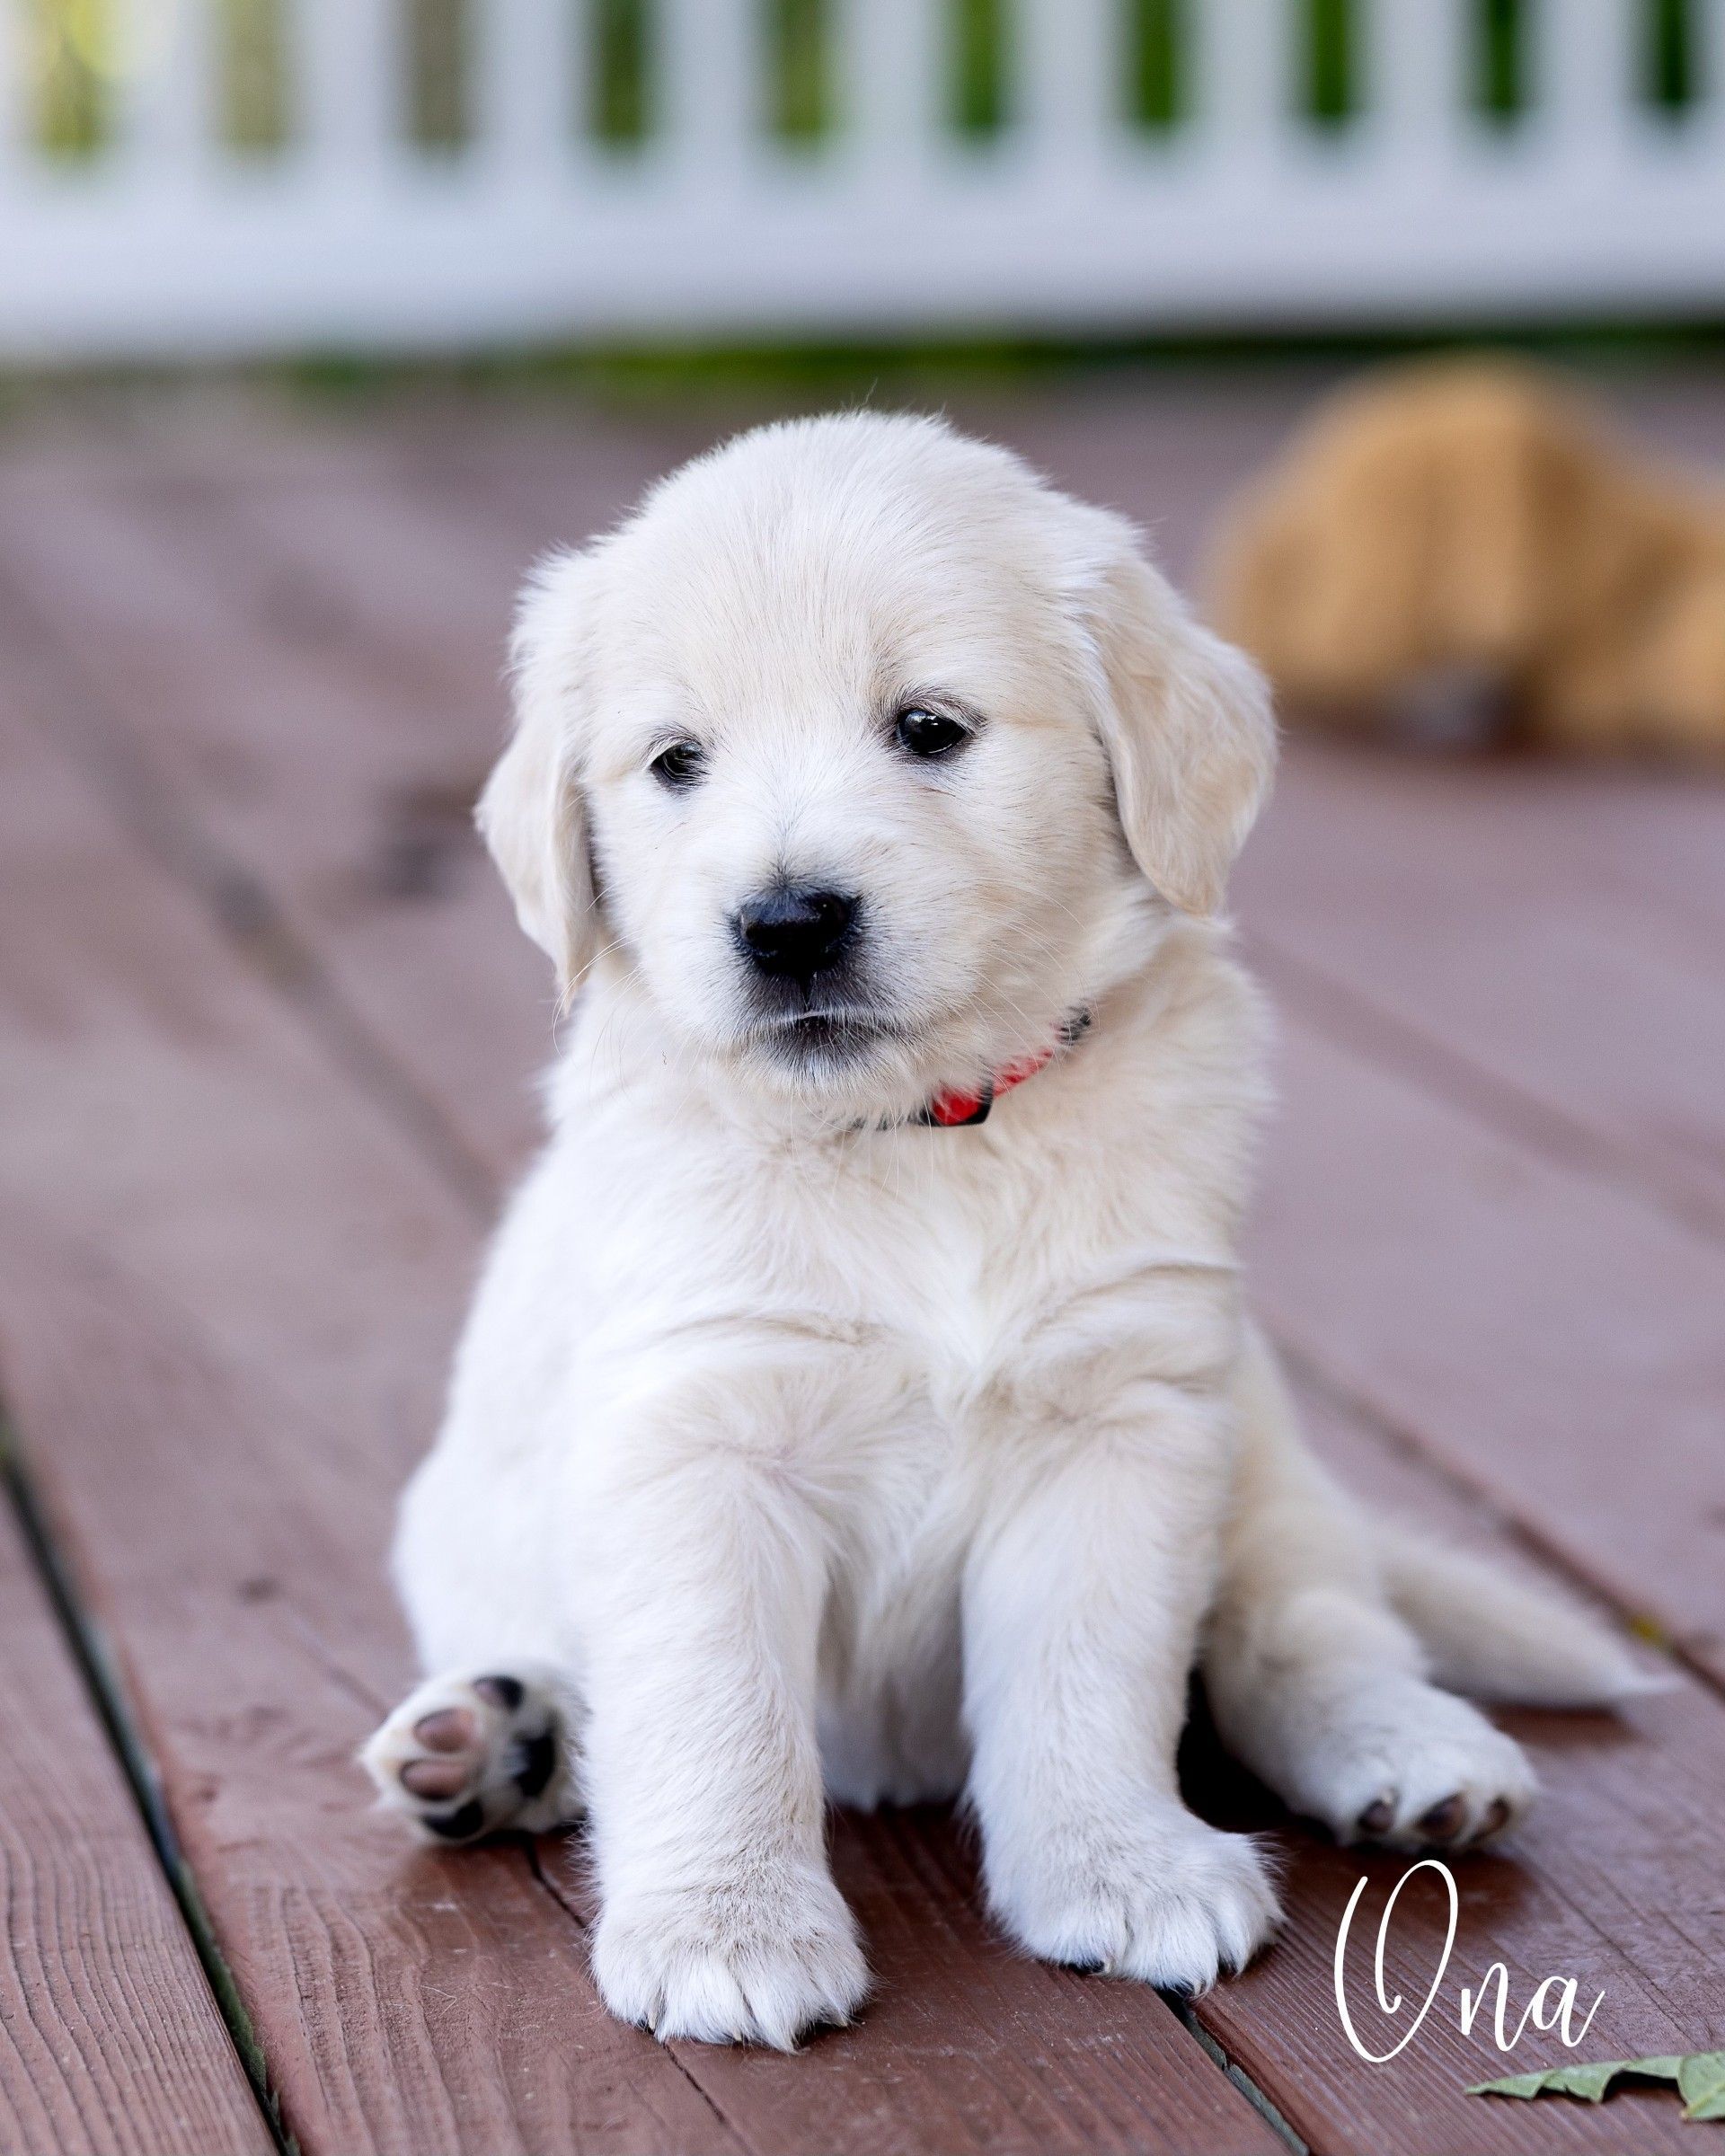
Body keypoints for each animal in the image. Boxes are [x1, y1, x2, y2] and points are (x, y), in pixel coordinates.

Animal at [367, 411, 1647, 2044]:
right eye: (674, 763)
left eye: (929, 729)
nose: (785, 924)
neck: (925, 1137)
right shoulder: (695, 1438)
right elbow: (713, 1703)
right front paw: (727, 1921)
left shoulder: (1123, 1418)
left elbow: (1090, 1678)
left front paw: (1121, 1869)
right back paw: (497, 1742)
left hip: (1261, 1449)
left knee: (1308, 1627)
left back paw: (1418, 1758)